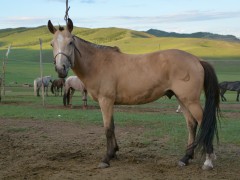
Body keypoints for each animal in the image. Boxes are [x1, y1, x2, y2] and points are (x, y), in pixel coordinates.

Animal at [47, 19, 220, 171]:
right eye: (52, 44)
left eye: (70, 42)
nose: (61, 69)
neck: (98, 64)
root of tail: (197, 60)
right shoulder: (110, 103)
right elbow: (113, 126)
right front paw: (114, 152)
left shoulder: (105, 101)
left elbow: (107, 129)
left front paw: (106, 158)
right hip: (182, 100)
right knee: (191, 124)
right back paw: (185, 158)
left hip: (191, 101)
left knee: (203, 122)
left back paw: (208, 161)